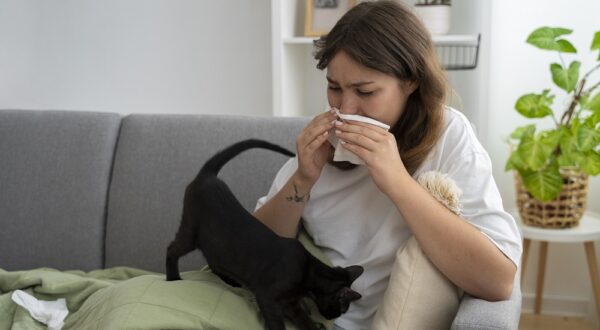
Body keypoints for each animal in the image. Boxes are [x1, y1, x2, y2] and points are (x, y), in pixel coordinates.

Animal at [164, 139, 364, 330]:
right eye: (342, 308)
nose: (332, 317)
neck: (308, 271)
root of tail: (208, 176)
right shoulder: (267, 297)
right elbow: (277, 323)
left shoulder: (290, 303)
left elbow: (304, 320)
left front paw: (313, 326)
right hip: (190, 232)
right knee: (172, 248)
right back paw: (173, 278)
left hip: (215, 244)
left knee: (213, 259)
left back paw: (230, 281)